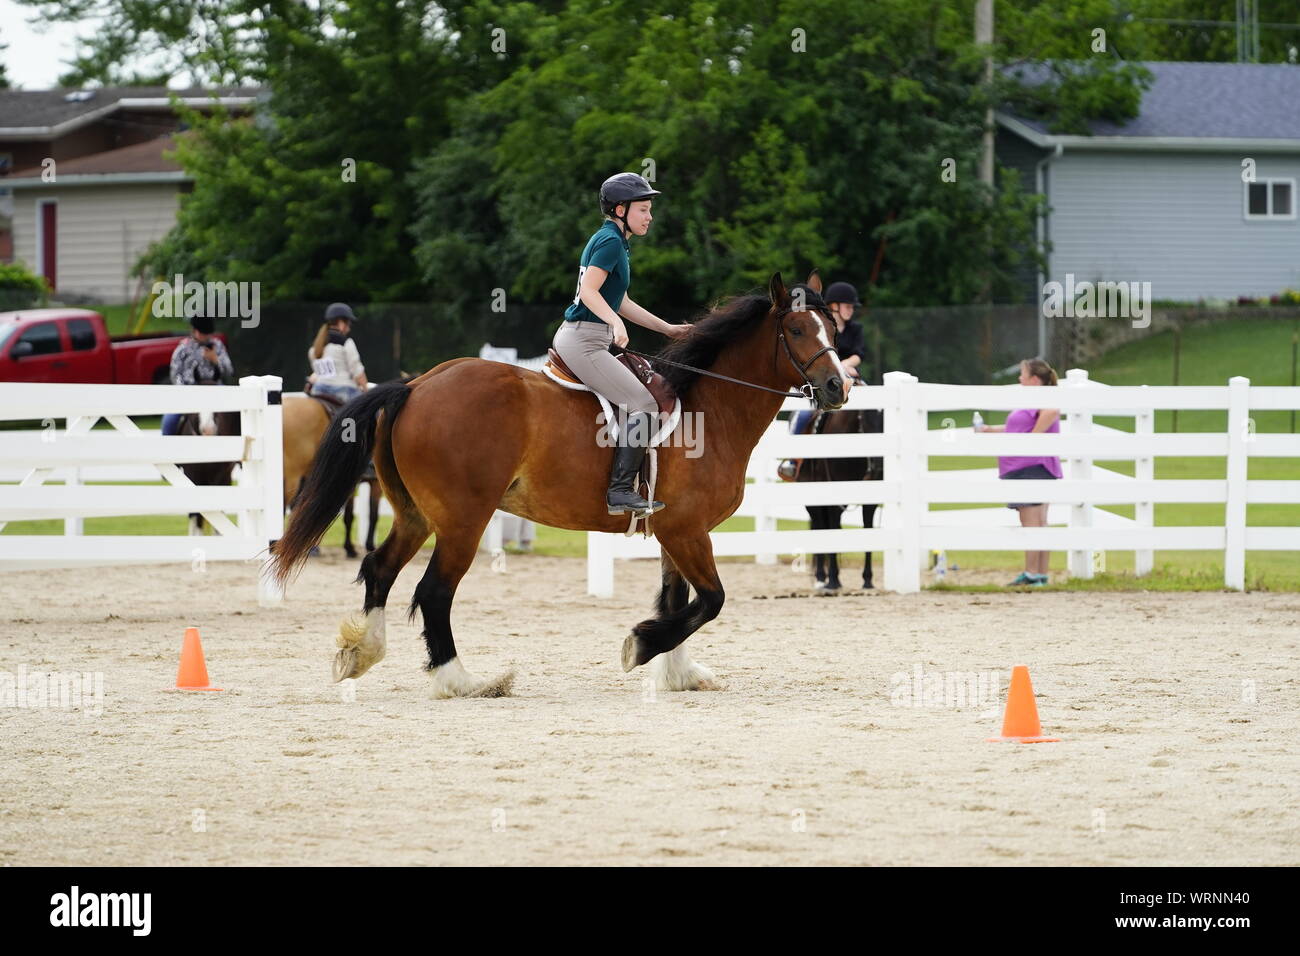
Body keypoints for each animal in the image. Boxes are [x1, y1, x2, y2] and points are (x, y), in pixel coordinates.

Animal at [267, 273, 852, 697]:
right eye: (797, 331)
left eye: (831, 329)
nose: (837, 387)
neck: (708, 407)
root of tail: (417, 385)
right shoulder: (687, 531)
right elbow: (709, 600)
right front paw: (640, 646)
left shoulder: (676, 532)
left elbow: (677, 599)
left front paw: (677, 673)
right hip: (462, 521)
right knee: (433, 592)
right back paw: (463, 681)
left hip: (415, 515)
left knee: (379, 569)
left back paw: (361, 653)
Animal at [790, 405, 883, 587]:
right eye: (866, 416)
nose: (879, 464)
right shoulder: (833, 498)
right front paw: (833, 579)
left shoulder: (870, 499)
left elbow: (868, 529)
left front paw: (867, 580)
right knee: (820, 527)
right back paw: (821, 577)